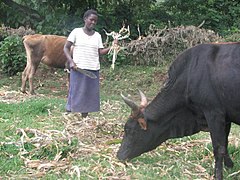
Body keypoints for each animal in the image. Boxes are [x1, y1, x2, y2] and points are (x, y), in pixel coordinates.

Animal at [117, 43, 240, 179]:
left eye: (130, 130)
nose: (119, 155)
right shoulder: (226, 118)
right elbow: (225, 143)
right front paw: (230, 166)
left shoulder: (214, 113)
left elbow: (218, 148)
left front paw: (218, 175)